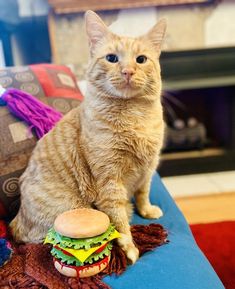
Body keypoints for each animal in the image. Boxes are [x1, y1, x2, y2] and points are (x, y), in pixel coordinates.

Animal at [10, 10, 166, 264]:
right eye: (112, 58)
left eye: (141, 59)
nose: (128, 71)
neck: (135, 117)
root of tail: (16, 220)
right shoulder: (110, 181)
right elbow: (118, 217)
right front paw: (129, 246)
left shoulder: (148, 168)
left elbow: (143, 193)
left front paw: (147, 210)